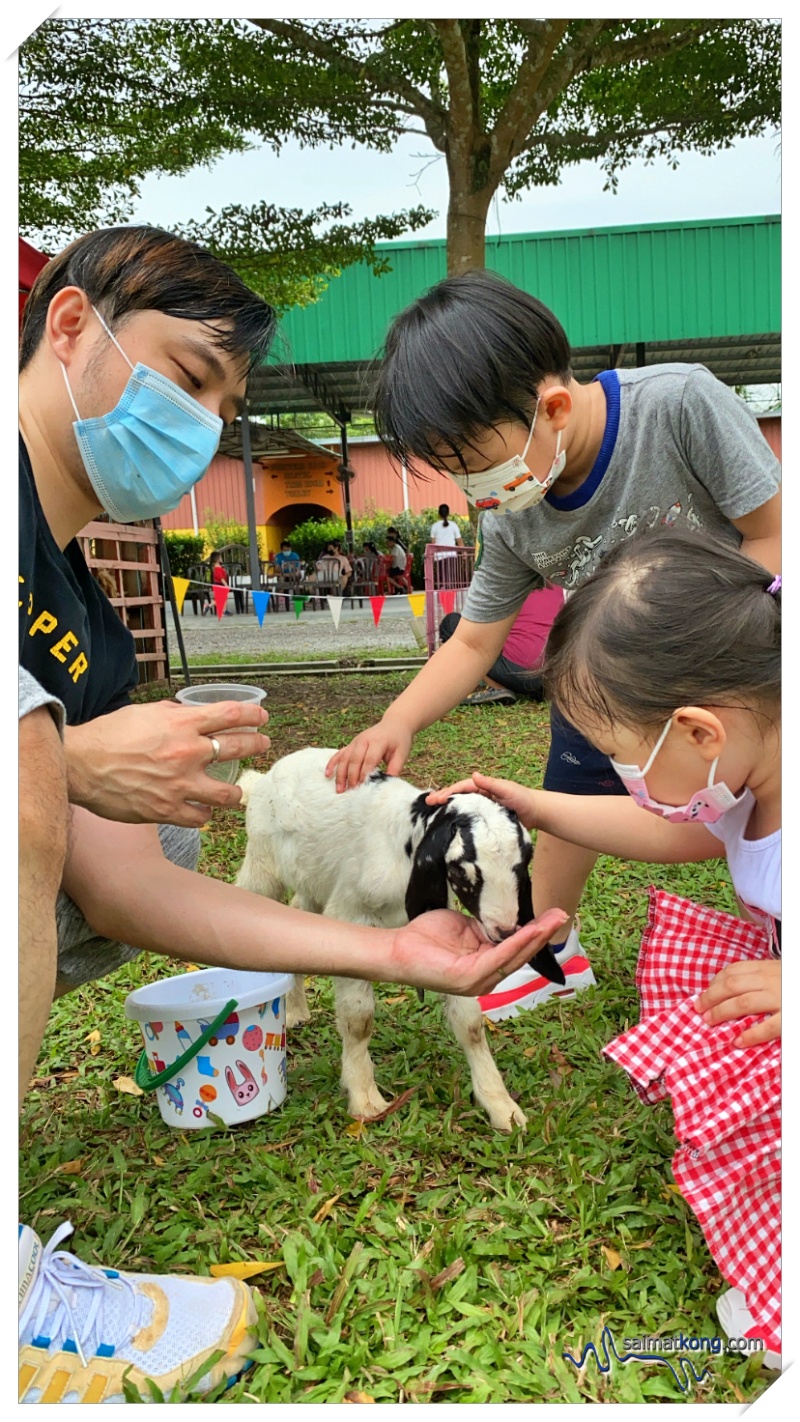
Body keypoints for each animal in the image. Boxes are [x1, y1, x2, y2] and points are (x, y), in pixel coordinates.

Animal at [237, 745, 562, 1131]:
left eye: (524, 863)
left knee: (298, 912)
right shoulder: (348, 916)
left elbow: (469, 1023)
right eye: (458, 871)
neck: (402, 847)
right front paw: (365, 1099)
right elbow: (359, 1021)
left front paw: (501, 1107)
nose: (505, 932)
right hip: (262, 863)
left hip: (313, 876)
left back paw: (296, 1010)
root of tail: (267, 776)